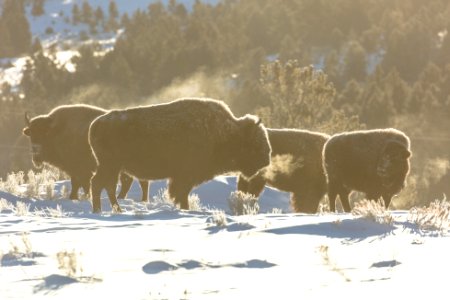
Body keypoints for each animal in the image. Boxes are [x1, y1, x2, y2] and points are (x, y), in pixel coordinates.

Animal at [88, 98, 270, 213]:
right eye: (254, 143)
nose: (266, 160)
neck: (225, 132)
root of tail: (96, 124)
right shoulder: (184, 177)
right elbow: (182, 195)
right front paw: (185, 209)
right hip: (110, 166)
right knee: (100, 184)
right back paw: (105, 210)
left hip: (113, 167)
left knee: (106, 186)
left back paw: (112, 210)